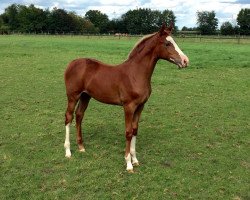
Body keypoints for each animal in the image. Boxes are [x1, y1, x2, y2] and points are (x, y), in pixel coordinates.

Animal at [63, 23, 188, 172]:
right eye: (167, 43)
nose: (185, 61)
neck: (135, 74)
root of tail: (72, 63)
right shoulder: (129, 106)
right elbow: (128, 132)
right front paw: (128, 163)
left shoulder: (140, 106)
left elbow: (135, 130)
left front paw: (135, 160)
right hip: (73, 96)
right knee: (68, 117)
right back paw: (68, 151)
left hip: (85, 96)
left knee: (79, 115)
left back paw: (81, 147)